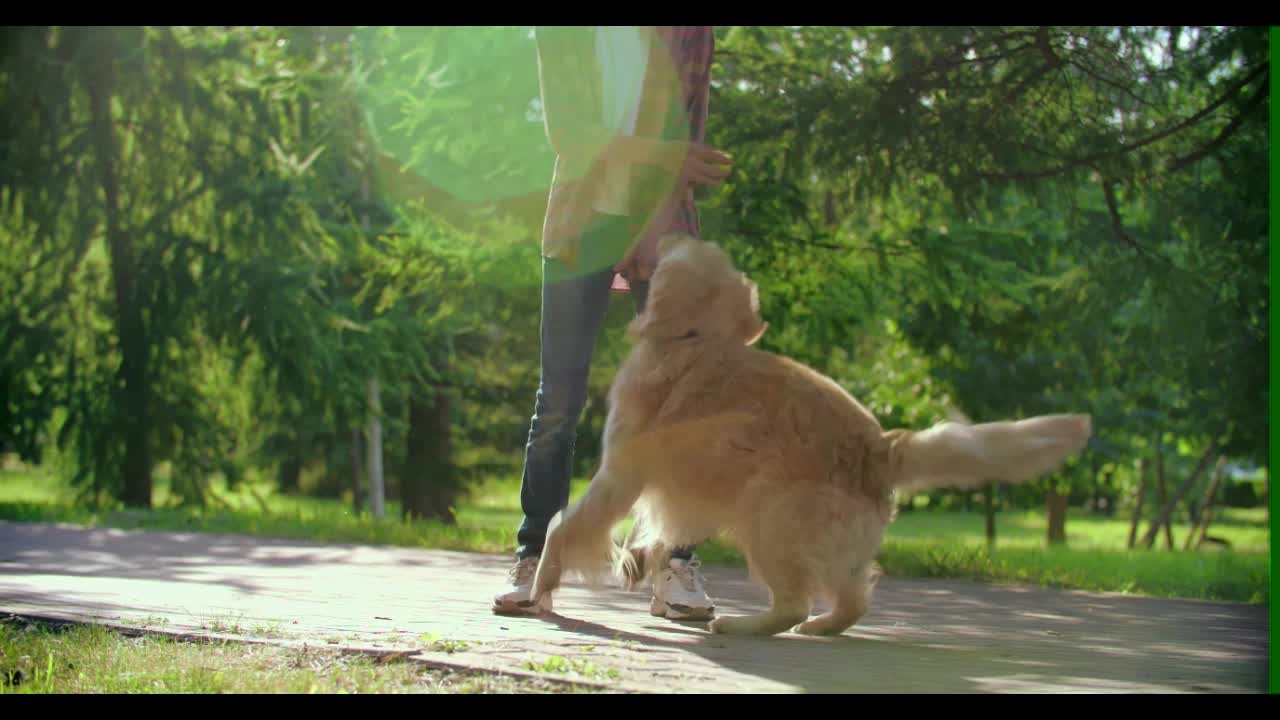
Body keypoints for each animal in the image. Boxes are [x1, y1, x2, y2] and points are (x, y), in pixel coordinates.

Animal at [529, 234, 1090, 632]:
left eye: (682, 248)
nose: (665, 231)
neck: (694, 337)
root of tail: (880, 447)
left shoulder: (619, 474)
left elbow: (564, 527)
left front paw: (543, 582)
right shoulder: (673, 486)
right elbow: (657, 529)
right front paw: (638, 558)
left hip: (766, 517)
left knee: (794, 603)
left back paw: (743, 625)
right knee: (853, 596)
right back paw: (822, 627)